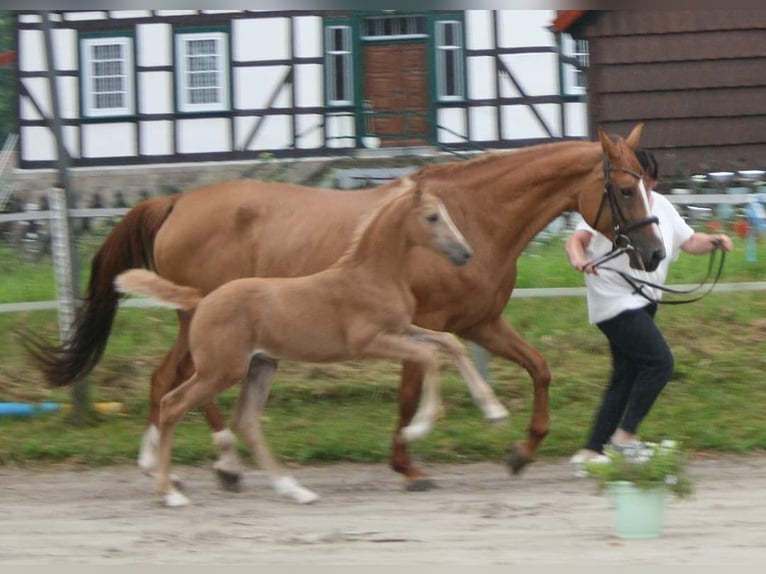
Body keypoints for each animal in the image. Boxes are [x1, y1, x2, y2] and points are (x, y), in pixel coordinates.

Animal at [115, 180, 510, 508]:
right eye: (432, 216)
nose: (465, 254)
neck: (372, 274)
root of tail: (201, 299)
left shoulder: (401, 329)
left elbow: (448, 342)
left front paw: (495, 411)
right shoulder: (369, 341)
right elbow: (429, 356)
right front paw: (417, 429)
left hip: (261, 365)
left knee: (246, 421)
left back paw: (295, 490)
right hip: (221, 370)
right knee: (173, 405)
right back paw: (170, 491)